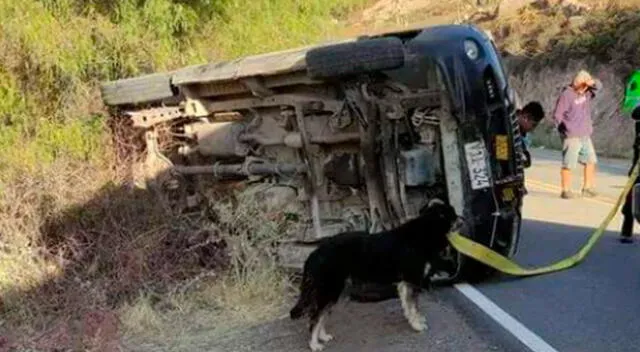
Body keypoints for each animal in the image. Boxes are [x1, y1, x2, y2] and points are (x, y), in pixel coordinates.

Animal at [288, 199, 460, 350]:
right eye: (452, 213)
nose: (463, 220)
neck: (423, 231)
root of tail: (314, 253)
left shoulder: (404, 283)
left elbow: (409, 307)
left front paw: (413, 321)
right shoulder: (412, 281)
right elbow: (414, 307)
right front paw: (417, 325)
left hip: (331, 292)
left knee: (321, 316)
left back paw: (322, 336)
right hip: (329, 290)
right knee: (314, 318)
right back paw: (314, 344)